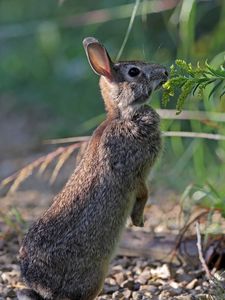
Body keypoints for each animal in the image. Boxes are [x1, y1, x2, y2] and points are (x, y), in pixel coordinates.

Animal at [17, 37, 168, 300]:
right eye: (134, 72)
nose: (165, 72)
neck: (124, 116)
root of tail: (43, 289)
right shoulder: (136, 173)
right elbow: (143, 194)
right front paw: (139, 221)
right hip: (94, 277)